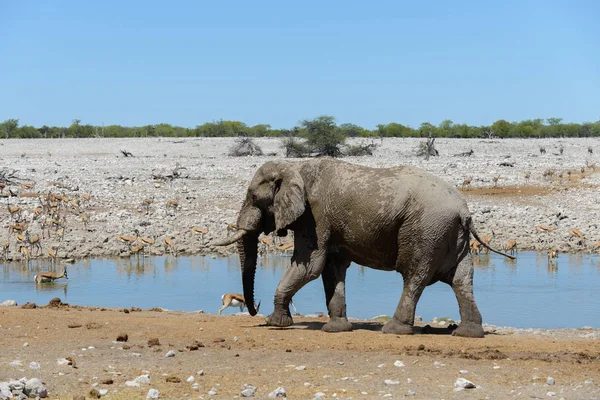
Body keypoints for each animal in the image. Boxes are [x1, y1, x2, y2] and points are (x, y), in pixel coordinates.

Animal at [213, 158, 512, 336]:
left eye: (254, 197)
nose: (254, 311)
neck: (294, 166)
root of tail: (464, 210)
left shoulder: (315, 216)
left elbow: (310, 267)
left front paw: (275, 324)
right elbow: (331, 269)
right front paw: (336, 329)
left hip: (426, 229)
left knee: (415, 275)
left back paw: (394, 330)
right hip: (450, 234)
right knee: (461, 279)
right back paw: (467, 333)